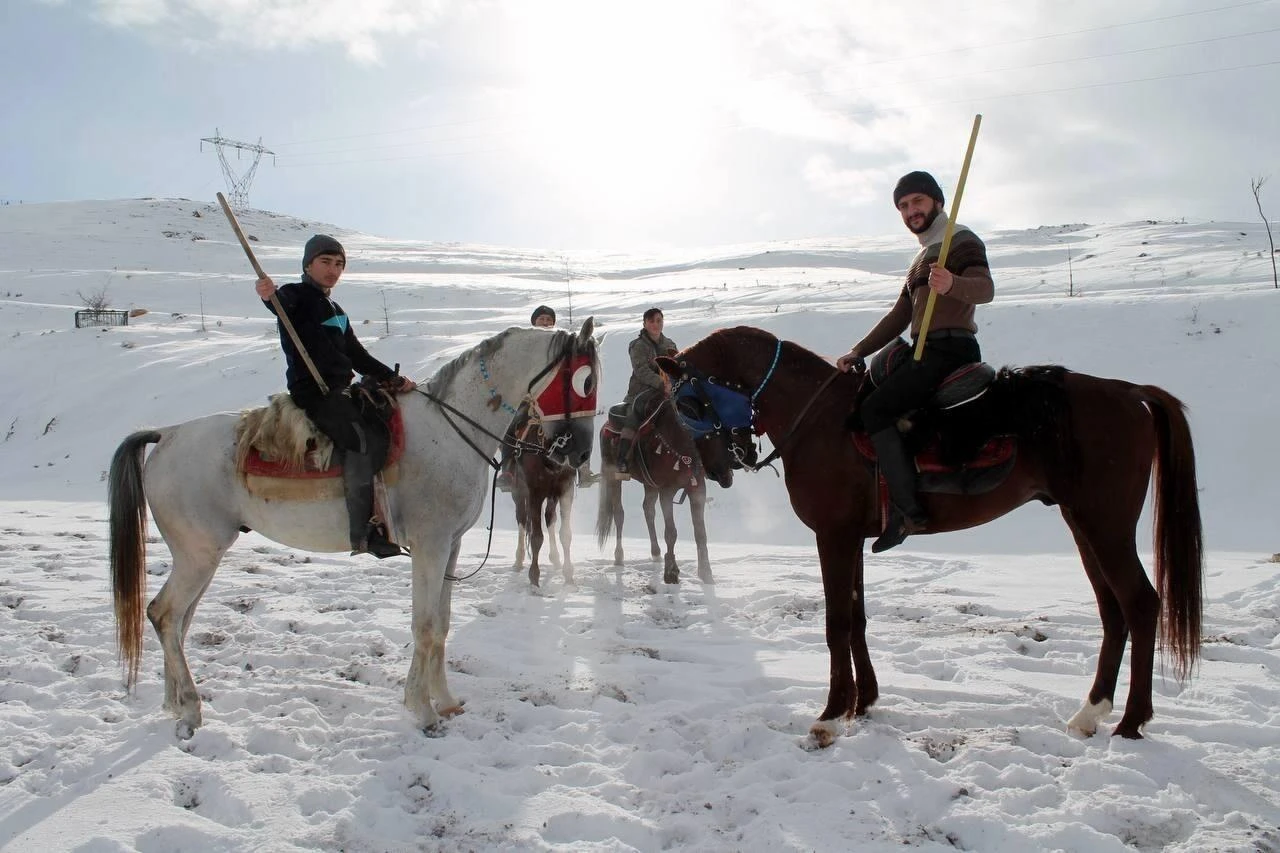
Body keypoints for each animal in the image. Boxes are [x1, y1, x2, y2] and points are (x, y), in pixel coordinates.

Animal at [110, 317, 599, 732]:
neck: (451, 427)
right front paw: (422, 710)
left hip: (199, 556)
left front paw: (444, 701)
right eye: (586, 381)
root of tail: (168, 434)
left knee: (176, 621)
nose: (578, 453)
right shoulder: (430, 547)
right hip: (199, 554)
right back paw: (191, 708)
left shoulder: (451, 547)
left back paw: (175, 703)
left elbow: (441, 625)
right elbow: (424, 626)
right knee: (165, 614)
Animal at [593, 391, 737, 584]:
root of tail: (606, 426)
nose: (726, 476)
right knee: (619, 514)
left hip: (649, 484)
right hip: (613, 478)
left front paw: (706, 572)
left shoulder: (697, 489)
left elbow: (700, 533)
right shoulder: (667, 492)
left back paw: (655, 553)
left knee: (648, 510)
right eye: (712, 437)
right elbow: (671, 532)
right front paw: (671, 572)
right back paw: (619, 556)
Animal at [655, 325, 1203, 742]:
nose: (716, 469)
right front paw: (863, 701)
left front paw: (831, 715)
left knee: (1140, 604)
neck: (820, 419)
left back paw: (1131, 722)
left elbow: (836, 623)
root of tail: (1129, 391)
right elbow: (857, 619)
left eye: (689, 404)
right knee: (1113, 612)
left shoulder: (833, 536)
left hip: (1105, 524)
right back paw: (1091, 712)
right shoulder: (853, 538)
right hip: (1083, 523)